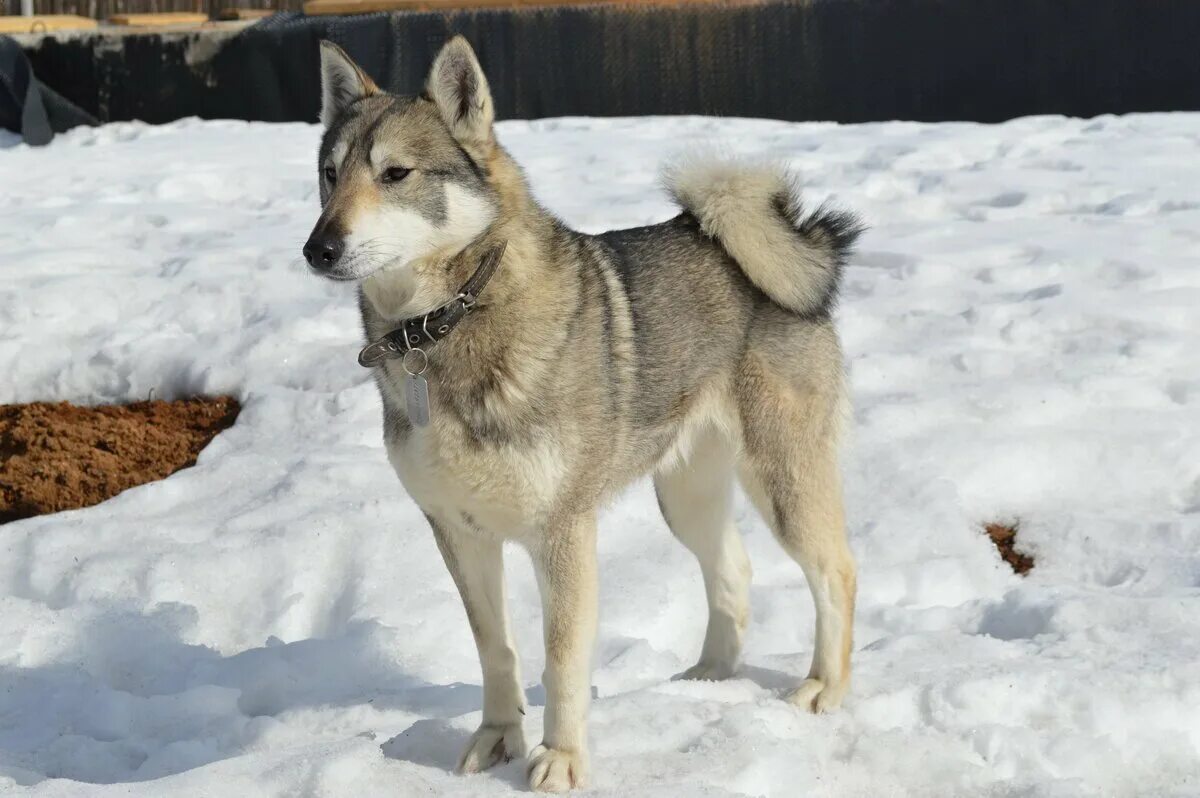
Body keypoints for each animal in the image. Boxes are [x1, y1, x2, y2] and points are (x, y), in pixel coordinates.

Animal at [300, 35, 864, 792]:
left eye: (395, 174)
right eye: (329, 175)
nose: (318, 248)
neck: (446, 326)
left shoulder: (561, 532)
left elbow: (561, 658)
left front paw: (561, 758)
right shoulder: (458, 532)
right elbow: (496, 647)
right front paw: (497, 739)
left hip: (781, 480)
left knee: (836, 571)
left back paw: (823, 687)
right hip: (684, 495)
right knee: (733, 572)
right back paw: (709, 679)